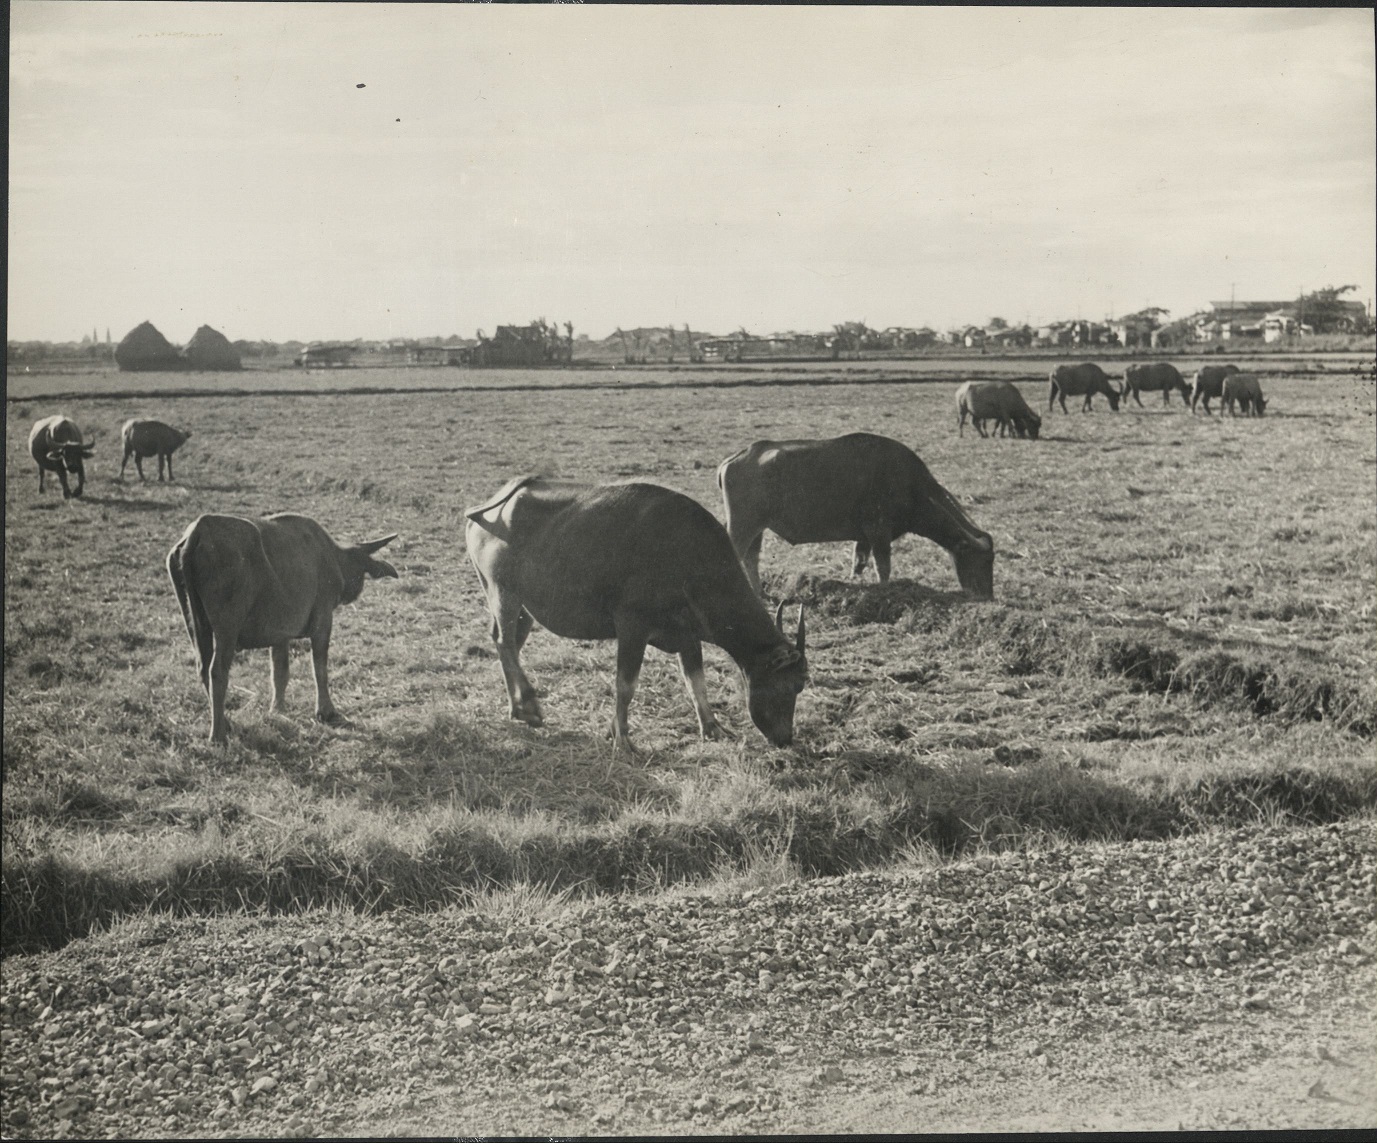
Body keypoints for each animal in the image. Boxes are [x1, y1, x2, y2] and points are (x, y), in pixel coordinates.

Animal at [166, 514, 399, 743]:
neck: (332, 557)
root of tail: (199, 531)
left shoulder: (279, 636)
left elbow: (280, 674)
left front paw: (277, 710)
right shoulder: (323, 623)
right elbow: (319, 669)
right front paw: (326, 711)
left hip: (195, 625)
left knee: (202, 667)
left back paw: (227, 723)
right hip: (227, 632)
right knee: (217, 671)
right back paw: (218, 735)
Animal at [465, 476, 808, 751]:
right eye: (791, 685)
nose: (785, 738)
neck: (689, 557)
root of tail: (499, 502)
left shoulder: (687, 635)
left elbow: (695, 681)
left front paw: (712, 727)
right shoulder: (632, 627)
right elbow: (625, 685)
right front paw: (622, 737)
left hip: (524, 605)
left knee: (508, 643)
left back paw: (517, 707)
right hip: (503, 592)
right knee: (505, 641)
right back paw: (530, 705)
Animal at [716, 432, 995, 599]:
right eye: (982, 560)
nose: (987, 596)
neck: (909, 484)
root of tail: (734, 459)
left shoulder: (864, 537)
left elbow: (858, 563)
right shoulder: (879, 532)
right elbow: (883, 567)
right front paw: (886, 592)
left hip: (757, 527)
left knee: (751, 558)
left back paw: (760, 594)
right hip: (742, 526)